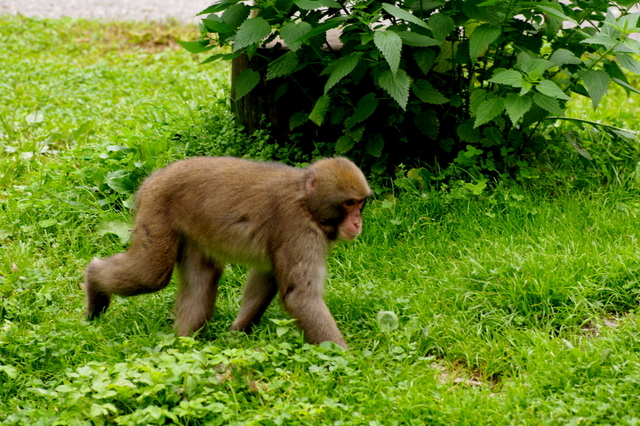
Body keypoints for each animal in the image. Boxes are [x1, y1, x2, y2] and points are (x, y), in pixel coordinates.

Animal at [82, 157, 370, 350]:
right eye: (348, 203)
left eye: (360, 204)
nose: (357, 223)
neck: (306, 204)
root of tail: (155, 177)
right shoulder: (298, 230)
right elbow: (299, 295)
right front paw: (343, 359)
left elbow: (266, 277)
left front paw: (236, 335)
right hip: (157, 209)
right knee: (151, 274)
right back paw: (93, 282)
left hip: (190, 228)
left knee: (203, 275)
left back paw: (183, 345)